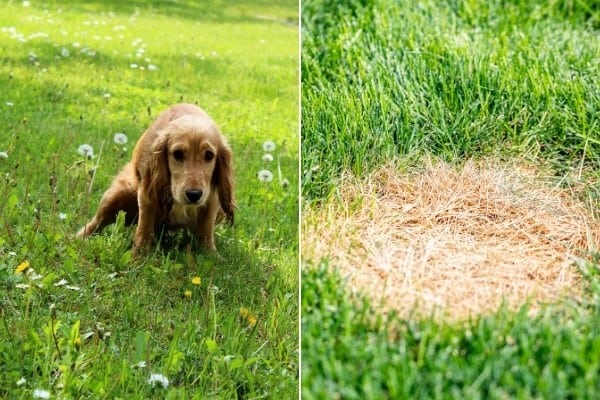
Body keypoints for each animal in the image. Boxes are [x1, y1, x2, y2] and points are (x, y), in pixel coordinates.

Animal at [75, 104, 234, 253]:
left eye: (209, 155)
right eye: (177, 154)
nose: (194, 195)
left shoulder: (211, 197)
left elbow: (206, 230)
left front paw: (210, 255)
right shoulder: (148, 195)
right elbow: (144, 230)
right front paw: (137, 258)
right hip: (116, 195)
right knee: (95, 223)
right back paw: (78, 239)